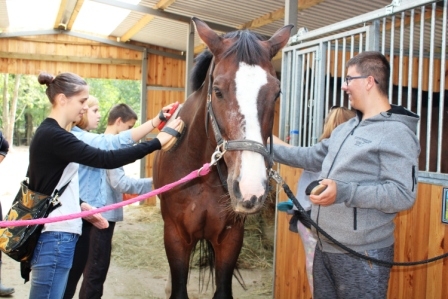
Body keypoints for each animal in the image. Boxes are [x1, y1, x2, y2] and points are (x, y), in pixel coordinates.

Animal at [153, 17, 294, 298]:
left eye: (277, 93)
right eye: (217, 90)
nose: (250, 190)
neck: (204, 180)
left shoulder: (230, 238)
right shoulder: (176, 235)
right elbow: (179, 287)